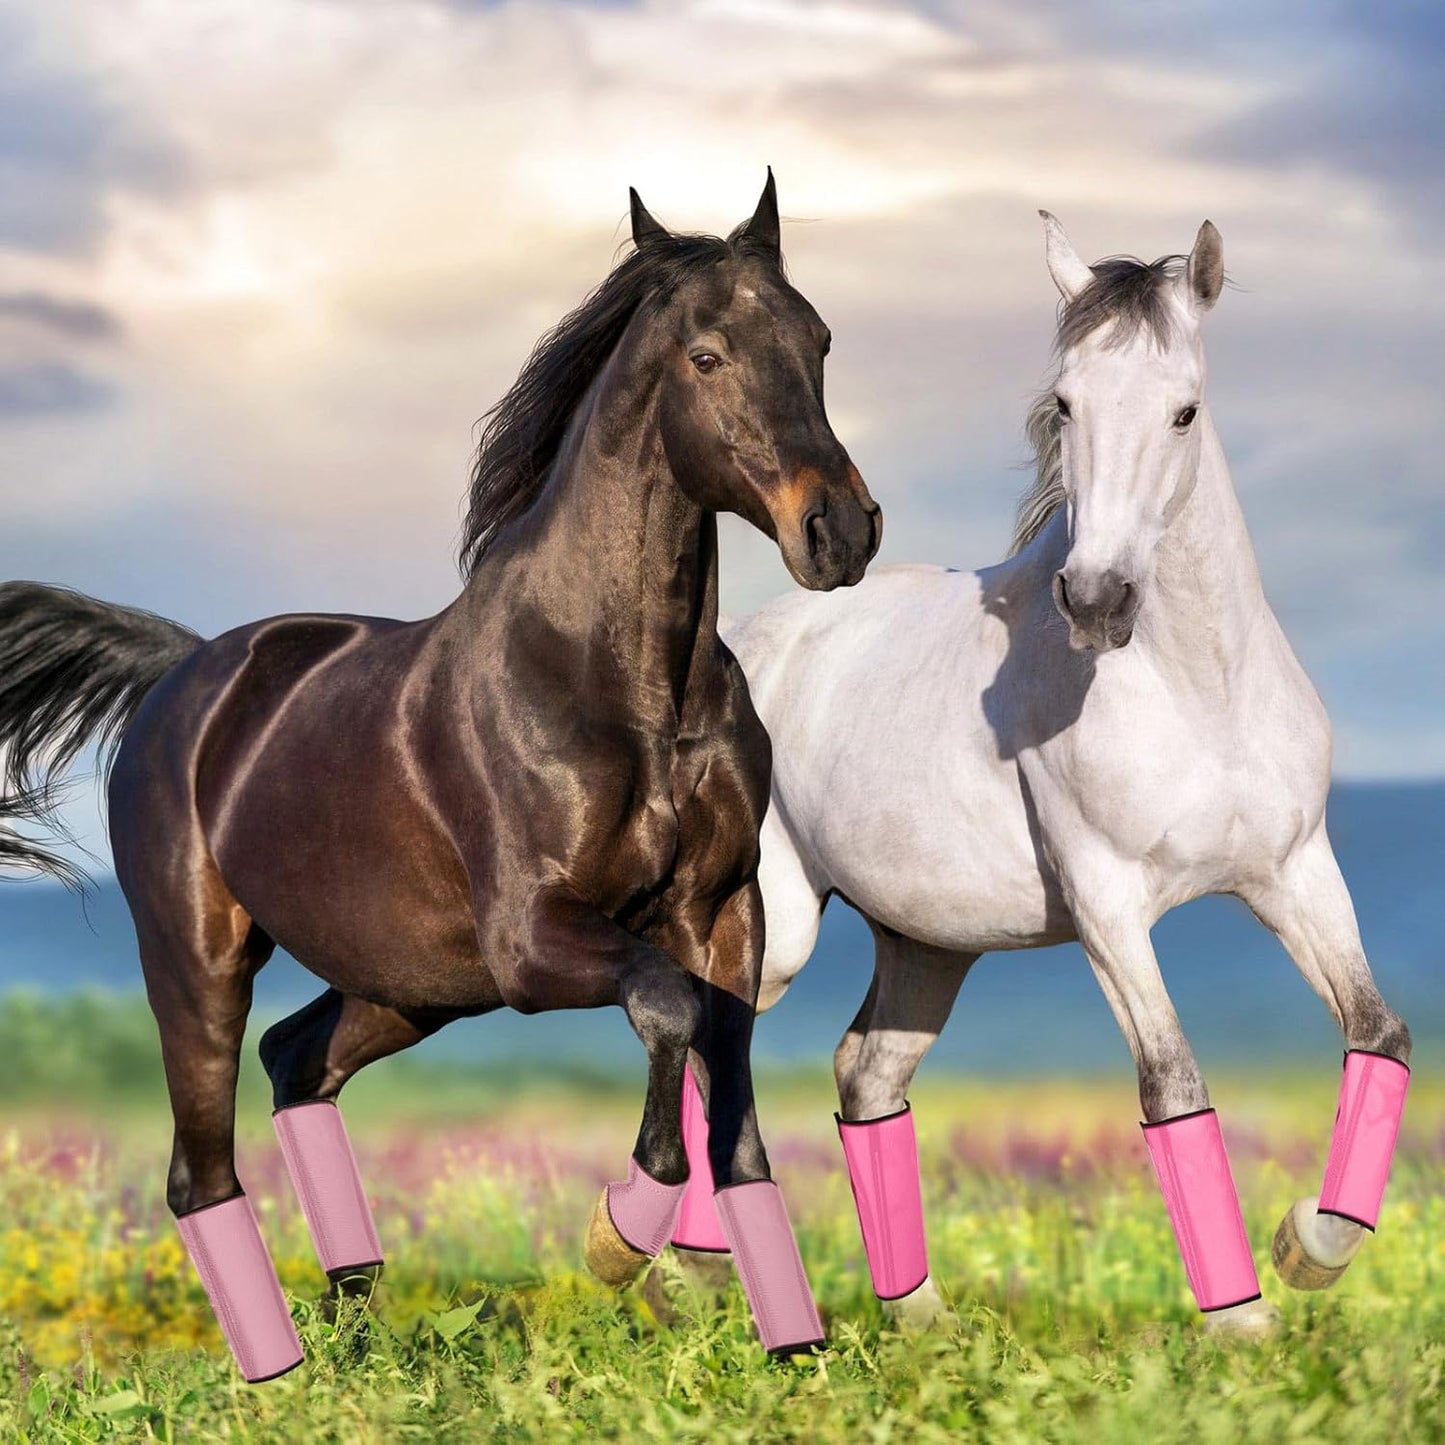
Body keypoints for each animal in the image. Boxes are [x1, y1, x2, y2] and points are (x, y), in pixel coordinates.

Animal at [0, 173, 881, 1380]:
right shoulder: (533, 937)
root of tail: (183, 672)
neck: (621, 684)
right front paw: (617, 1237)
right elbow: (664, 1011)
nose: (840, 530)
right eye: (706, 355)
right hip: (201, 959)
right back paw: (280, 1374)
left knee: (297, 1061)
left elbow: (733, 1101)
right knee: (200, 1168)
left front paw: (793, 1350)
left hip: (409, 984)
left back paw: (355, 1337)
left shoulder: (719, 916)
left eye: (819, 339)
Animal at [670, 213, 1410, 1335]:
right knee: (711, 1046)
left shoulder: (1292, 873)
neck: (1197, 691)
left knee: (864, 1074)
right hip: (780, 926)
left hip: (928, 945)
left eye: (1184, 409)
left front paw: (1307, 1245)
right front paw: (1241, 1319)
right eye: (1064, 403)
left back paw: (916, 1317)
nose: (1097, 598)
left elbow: (1378, 1033)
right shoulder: (1108, 906)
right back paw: (667, 1263)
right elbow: (1171, 1081)